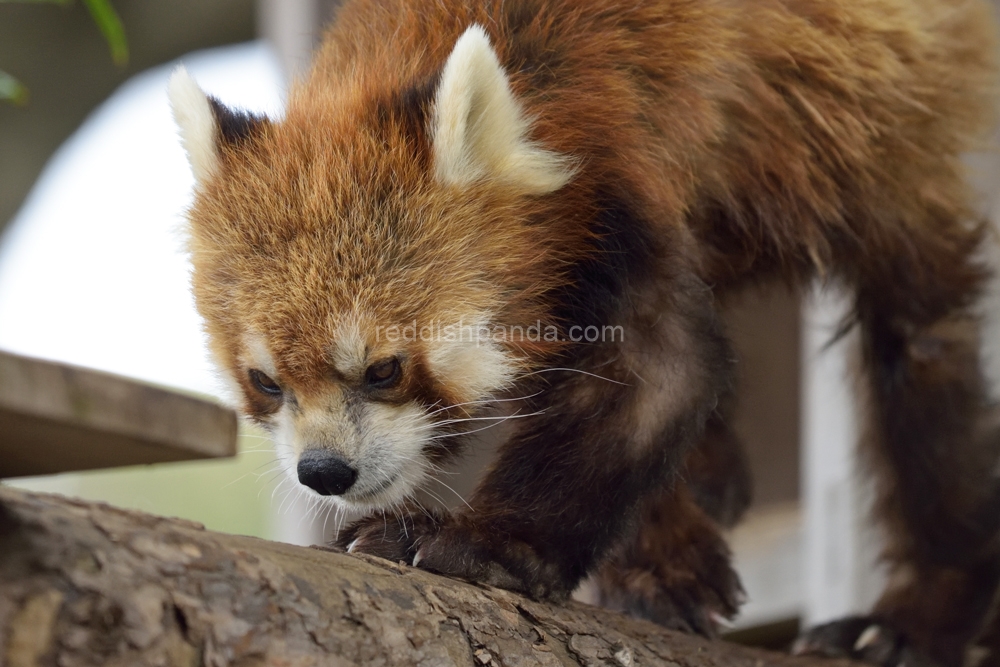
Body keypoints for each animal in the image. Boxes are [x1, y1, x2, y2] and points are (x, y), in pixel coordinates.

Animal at [172, 1, 1000, 664]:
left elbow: (661, 372)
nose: (324, 471)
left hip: (892, 128)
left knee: (924, 353)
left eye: (383, 369)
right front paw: (661, 562)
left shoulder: (626, 172)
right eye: (266, 381)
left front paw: (477, 543)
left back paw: (913, 618)